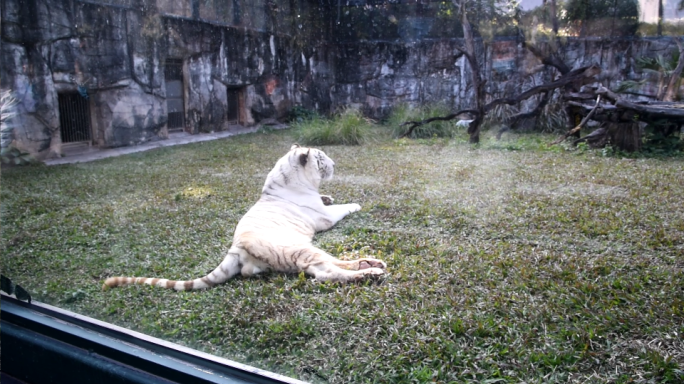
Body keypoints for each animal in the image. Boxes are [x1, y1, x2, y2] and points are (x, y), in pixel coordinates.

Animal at [103, 144, 388, 292]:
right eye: (321, 158)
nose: (335, 164)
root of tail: (236, 249)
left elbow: (328, 198)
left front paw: (328, 195)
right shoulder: (324, 217)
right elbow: (342, 207)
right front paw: (355, 203)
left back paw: (370, 265)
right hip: (300, 248)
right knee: (328, 271)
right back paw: (371, 270)